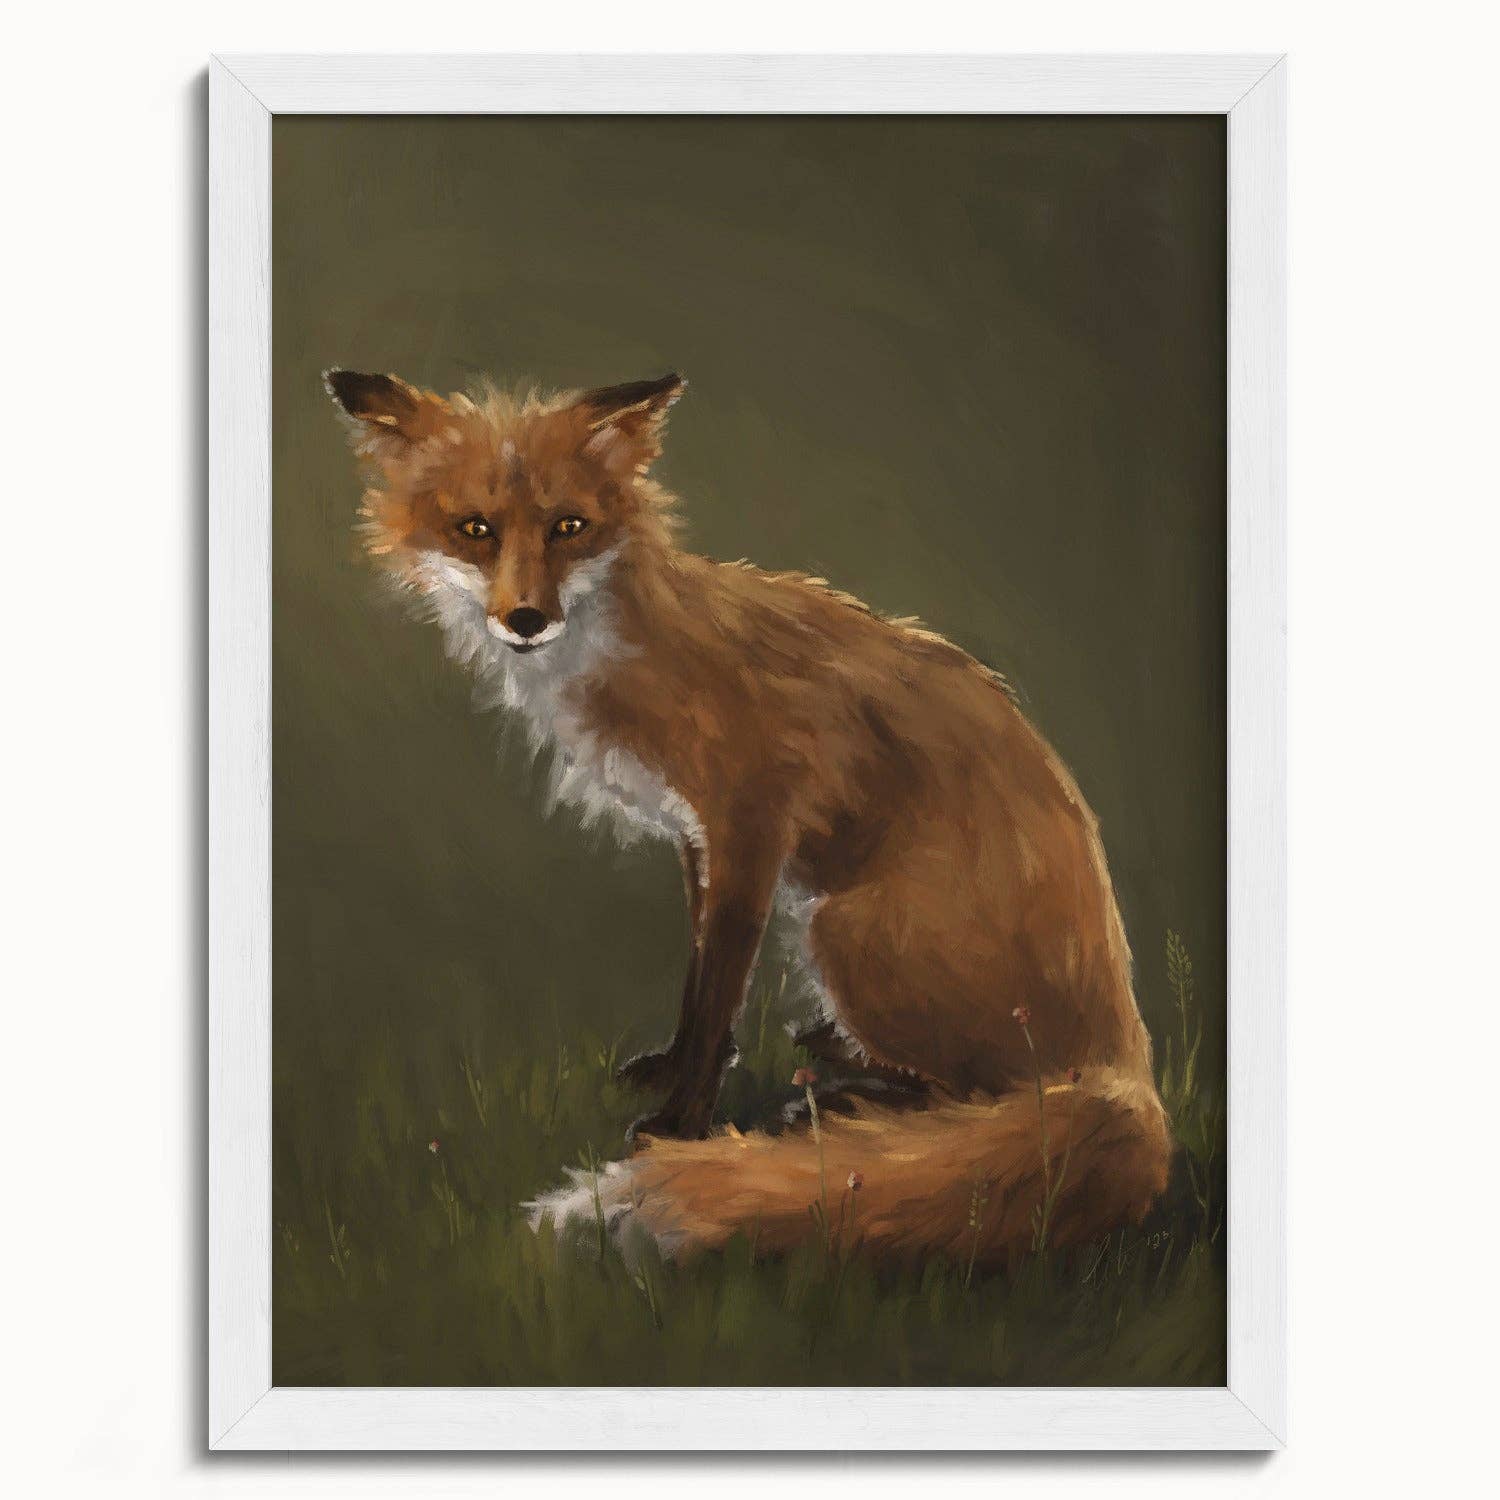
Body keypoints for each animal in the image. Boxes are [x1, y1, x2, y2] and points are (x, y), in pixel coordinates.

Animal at [325, 365, 1171, 1267]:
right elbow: (700, 979)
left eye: (569, 527)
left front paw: (678, 1123)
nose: (526, 619)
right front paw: (672, 1070)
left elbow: (718, 991)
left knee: (993, 1096)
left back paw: (846, 1100)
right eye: (475, 530)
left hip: (840, 930)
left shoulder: (752, 824)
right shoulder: (697, 836)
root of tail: (1126, 1059)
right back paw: (839, 1061)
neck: (635, 650)